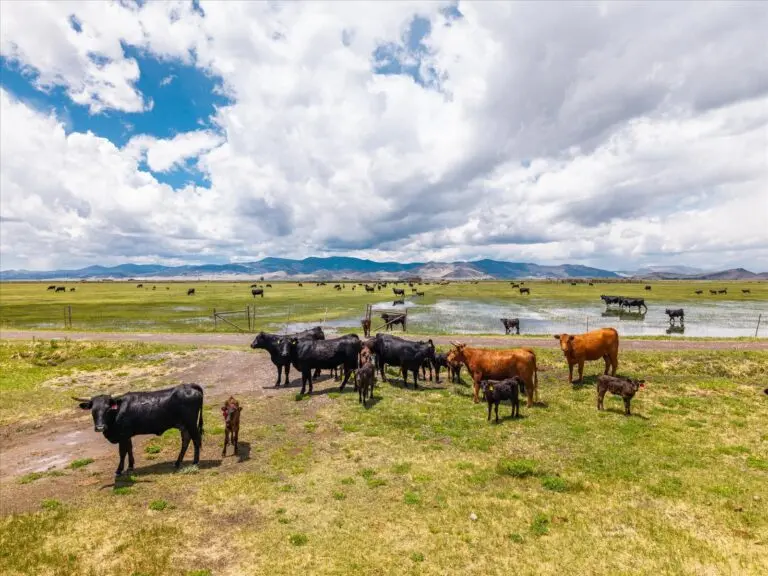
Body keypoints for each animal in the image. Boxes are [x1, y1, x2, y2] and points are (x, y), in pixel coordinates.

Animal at [73, 383, 204, 476]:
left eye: (108, 409)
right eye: (93, 410)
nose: (100, 427)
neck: (117, 412)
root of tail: (189, 385)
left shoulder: (123, 435)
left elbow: (122, 453)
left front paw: (119, 470)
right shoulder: (127, 435)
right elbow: (129, 449)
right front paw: (130, 466)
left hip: (191, 423)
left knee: (196, 440)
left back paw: (195, 462)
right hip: (184, 425)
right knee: (186, 441)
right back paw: (177, 462)